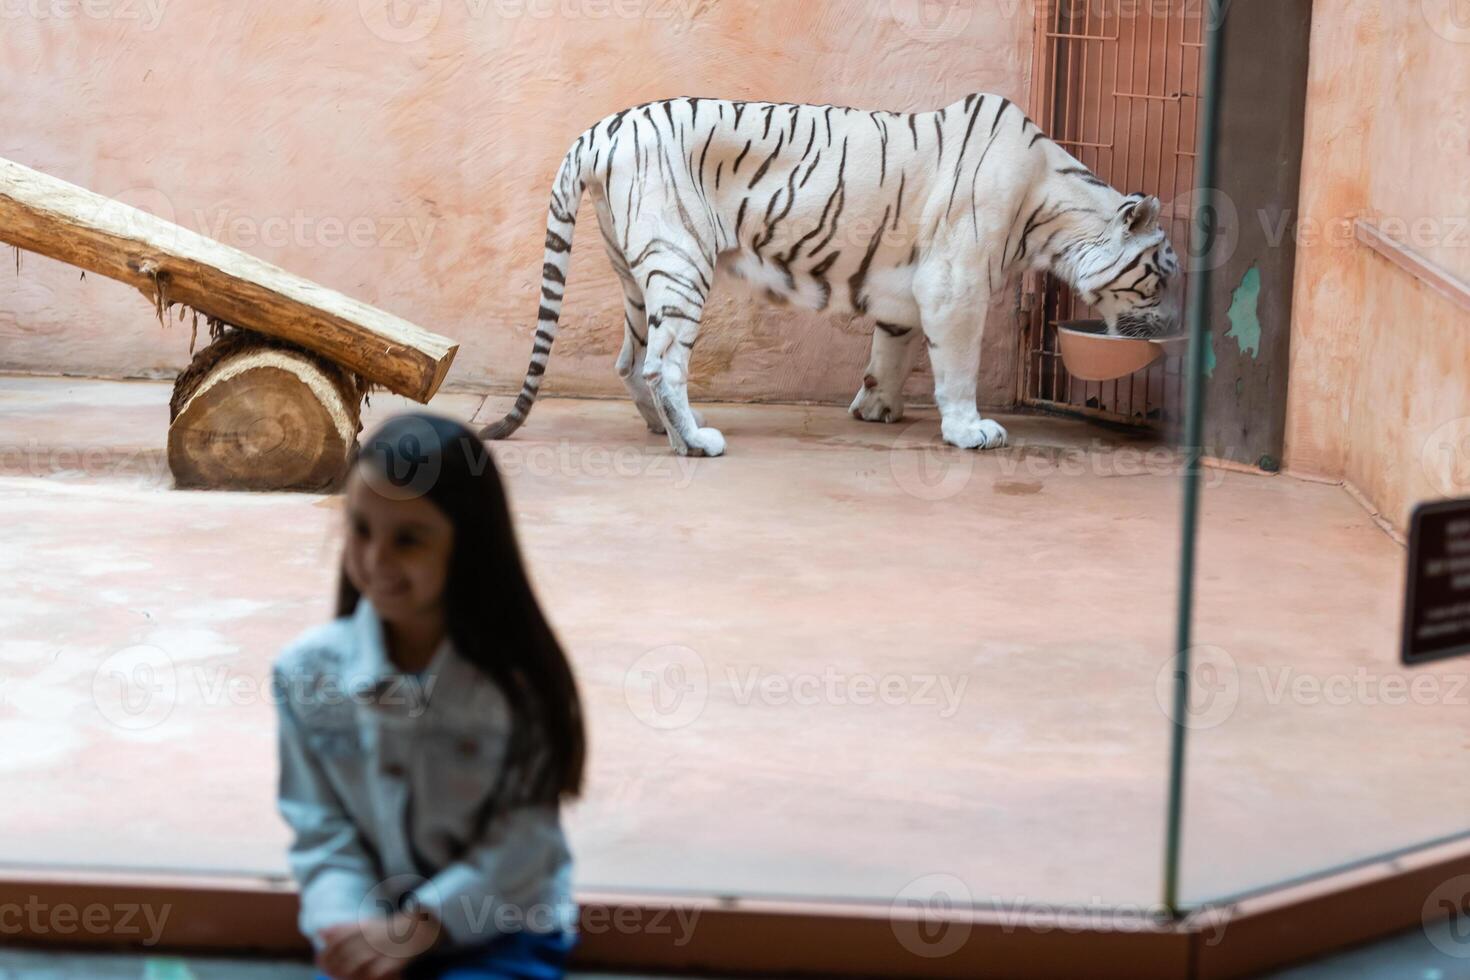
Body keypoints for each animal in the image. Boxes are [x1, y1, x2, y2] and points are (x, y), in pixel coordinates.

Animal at [482, 94, 1181, 458]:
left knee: (632, 361)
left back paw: (662, 428)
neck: (1052, 207)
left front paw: (876, 408)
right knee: (660, 364)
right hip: (679, 261)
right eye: (1163, 277)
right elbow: (957, 368)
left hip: (634, 270)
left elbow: (891, 349)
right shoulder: (956, 286)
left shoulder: (910, 290)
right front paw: (968, 431)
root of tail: (601, 129)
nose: (1172, 327)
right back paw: (696, 441)